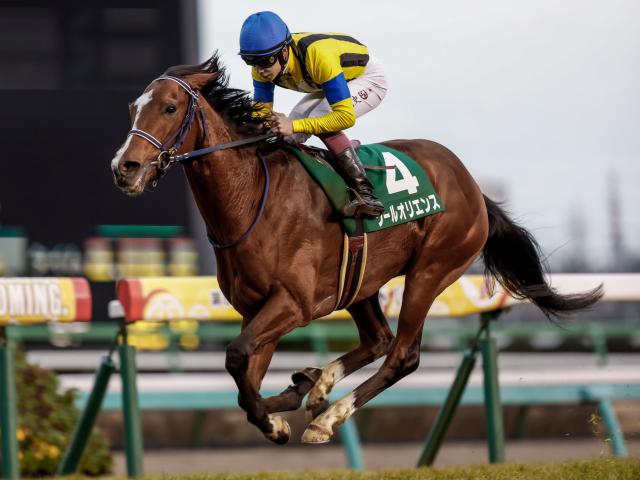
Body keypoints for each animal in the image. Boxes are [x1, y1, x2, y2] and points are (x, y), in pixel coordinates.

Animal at [109, 54, 600, 444]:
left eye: (170, 107)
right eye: (133, 107)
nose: (124, 167)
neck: (251, 201)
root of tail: (474, 188)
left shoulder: (293, 303)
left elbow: (237, 358)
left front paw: (278, 419)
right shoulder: (256, 309)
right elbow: (244, 372)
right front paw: (284, 402)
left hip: (431, 271)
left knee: (402, 354)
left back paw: (327, 417)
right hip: (362, 281)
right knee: (378, 338)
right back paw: (314, 386)